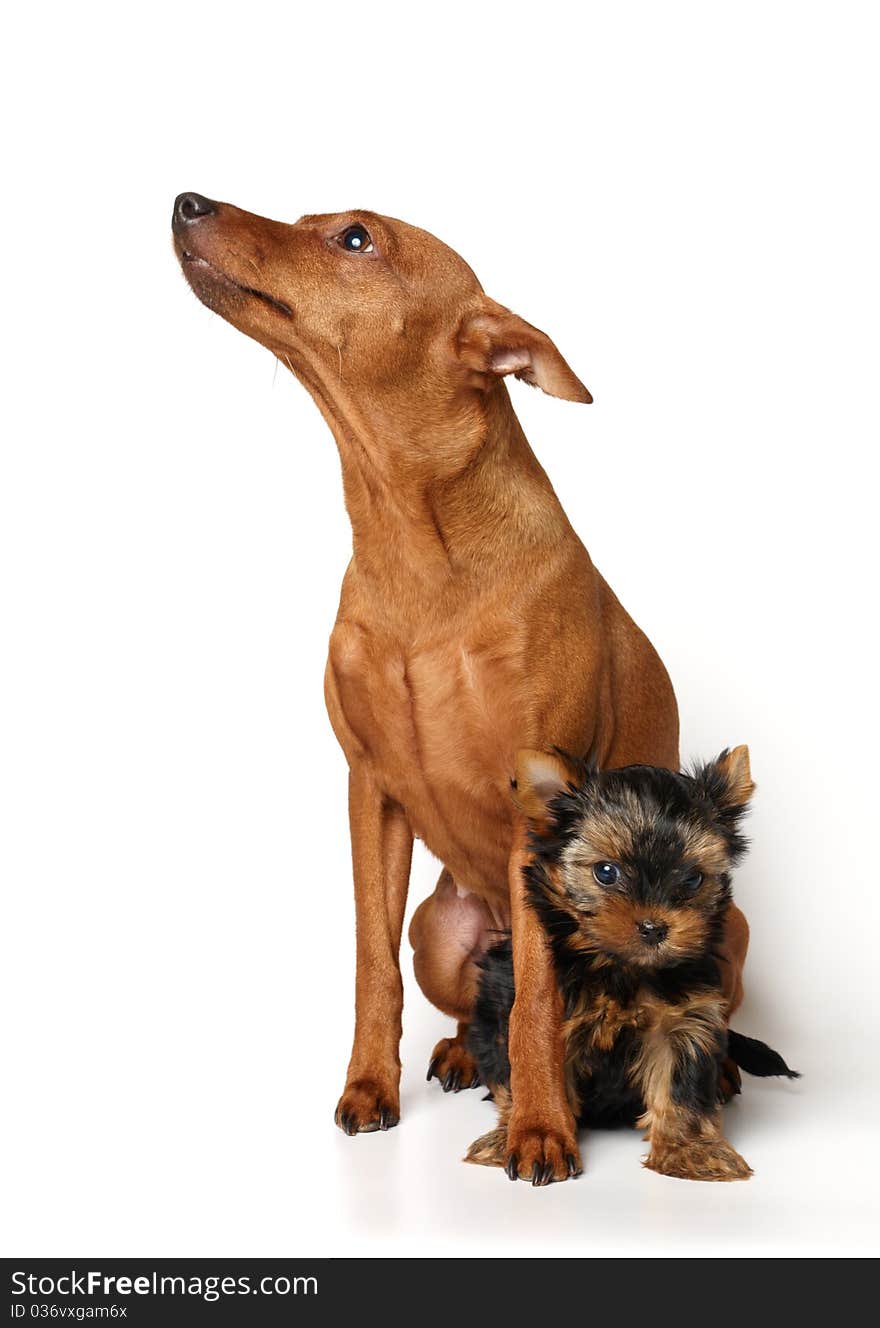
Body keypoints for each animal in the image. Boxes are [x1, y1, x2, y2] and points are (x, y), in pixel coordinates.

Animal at [172, 192, 748, 1179]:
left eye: (355, 238)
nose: (186, 202)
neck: (414, 544)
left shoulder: (535, 809)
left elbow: (541, 1001)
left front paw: (542, 1127)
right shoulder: (369, 789)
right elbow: (370, 962)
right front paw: (372, 1086)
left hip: (729, 931)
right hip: (441, 935)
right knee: (468, 996)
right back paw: (454, 1053)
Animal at [467, 743, 796, 1189]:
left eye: (692, 879)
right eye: (606, 872)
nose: (654, 927)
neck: (619, 967)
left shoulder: (685, 1019)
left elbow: (681, 1084)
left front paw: (691, 1151)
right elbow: (526, 1070)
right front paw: (517, 1135)